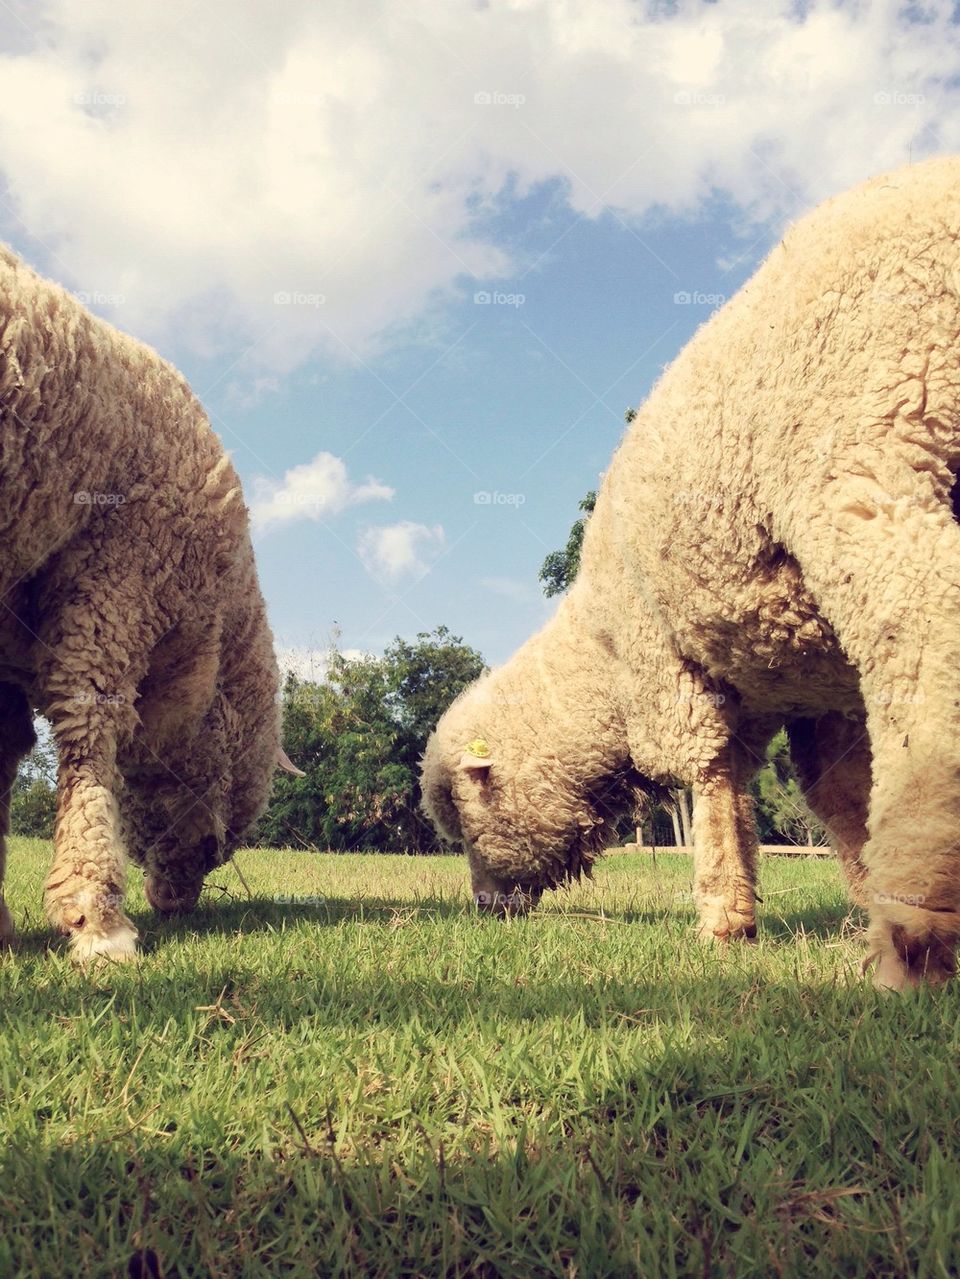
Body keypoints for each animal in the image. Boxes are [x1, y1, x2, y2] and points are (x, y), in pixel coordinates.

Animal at [0, 244, 295, 961]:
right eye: (218, 843)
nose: (175, 904)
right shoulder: (120, 578)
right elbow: (90, 717)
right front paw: (95, 917)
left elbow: (4, 749)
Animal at [422, 153, 960, 991]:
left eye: (465, 824)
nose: (484, 908)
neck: (600, 659)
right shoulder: (804, 684)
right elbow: (833, 791)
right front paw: (848, 889)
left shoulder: (673, 672)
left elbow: (709, 782)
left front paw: (722, 919)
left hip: (872, 456)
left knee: (925, 638)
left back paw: (916, 931)